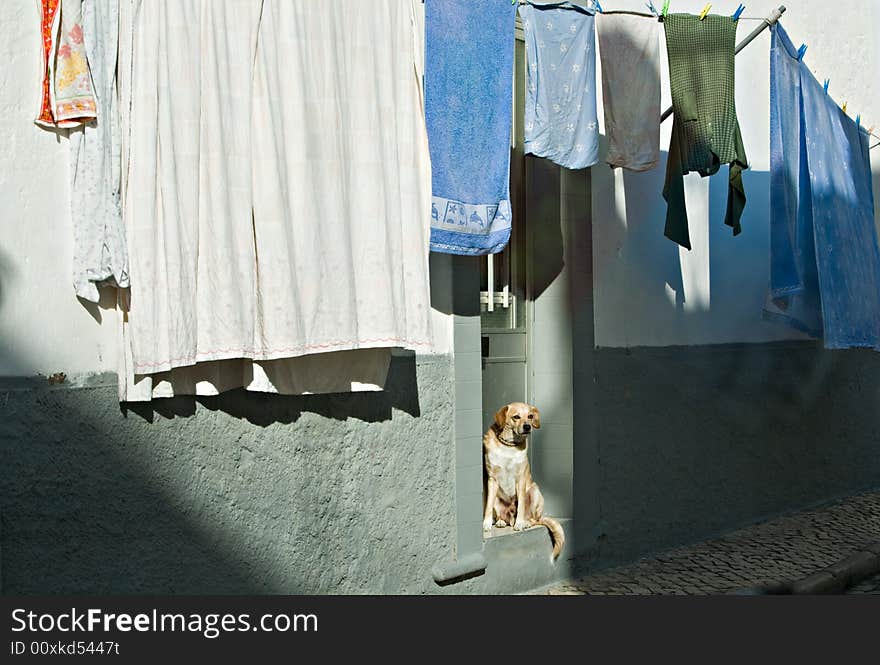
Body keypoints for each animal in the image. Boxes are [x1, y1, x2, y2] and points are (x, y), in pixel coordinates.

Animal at [482, 402, 564, 556]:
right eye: (516, 417)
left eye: (530, 416)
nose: (527, 427)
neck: (508, 446)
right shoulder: (492, 480)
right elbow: (488, 506)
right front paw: (486, 523)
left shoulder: (520, 479)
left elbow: (520, 505)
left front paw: (519, 523)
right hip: (497, 498)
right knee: (502, 516)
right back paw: (501, 521)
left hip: (535, 491)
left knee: (532, 519)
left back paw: (524, 522)